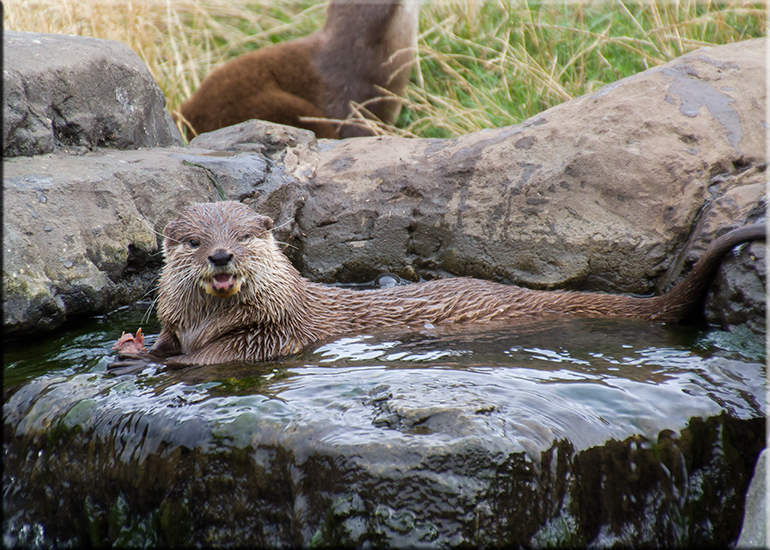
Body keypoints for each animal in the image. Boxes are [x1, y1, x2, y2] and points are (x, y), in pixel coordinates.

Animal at [113, 201, 764, 366]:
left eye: (246, 236)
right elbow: (168, 339)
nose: (221, 254)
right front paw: (134, 349)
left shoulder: (277, 334)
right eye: (193, 241)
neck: (209, 322)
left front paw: (170, 364)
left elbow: (222, 357)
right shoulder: (179, 319)